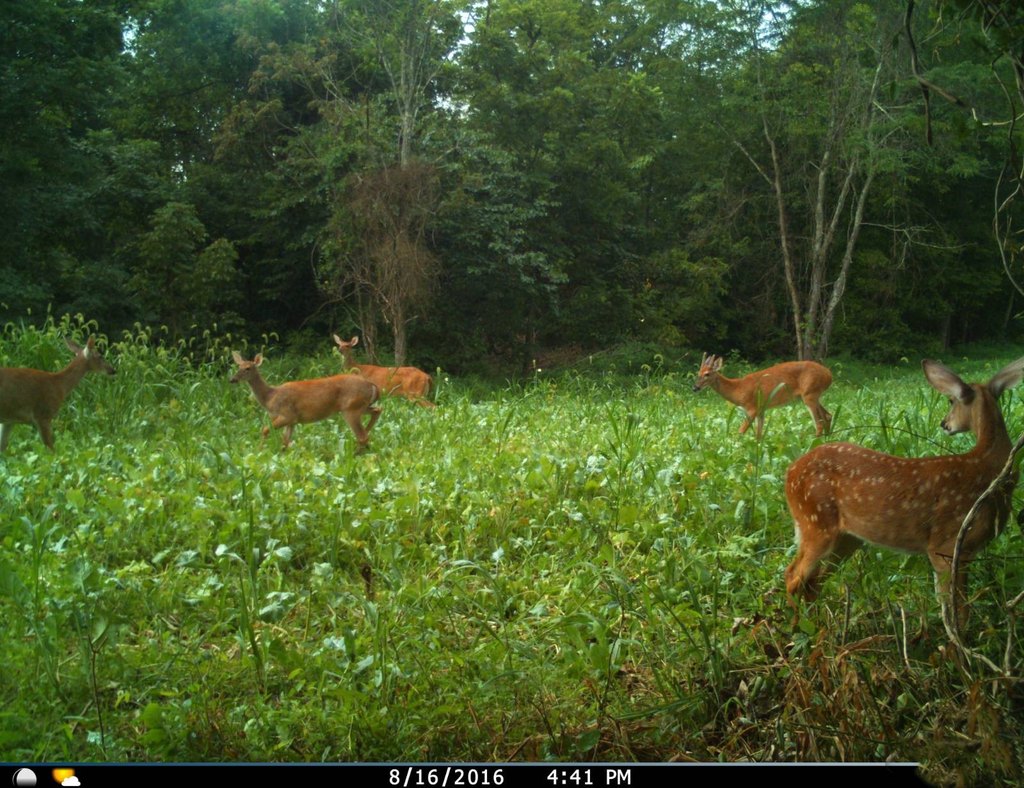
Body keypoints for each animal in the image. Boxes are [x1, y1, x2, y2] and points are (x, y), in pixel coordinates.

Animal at [230, 351, 382, 451]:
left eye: (248, 368)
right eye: (238, 366)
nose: (232, 379)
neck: (270, 398)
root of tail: (372, 385)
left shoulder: (288, 414)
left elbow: (265, 429)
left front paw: (259, 450)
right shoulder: (292, 421)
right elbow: (285, 442)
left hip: (351, 408)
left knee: (362, 436)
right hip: (361, 406)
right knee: (377, 411)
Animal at [692, 353, 833, 437]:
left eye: (707, 374)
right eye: (698, 373)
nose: (695, 388)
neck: (737, 389)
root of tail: (828, 374)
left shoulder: (752, 407)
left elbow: (741, 431)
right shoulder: (761, 409)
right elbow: (758, 435)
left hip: (809, 393)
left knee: (819, 423)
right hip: (813, 394)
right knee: (828, 415)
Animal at [784, 356, 1024, 632]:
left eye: (950, 401)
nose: (944, 424)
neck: (989, 471)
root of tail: (790, 473)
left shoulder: (963, 551)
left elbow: (959, 610)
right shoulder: (944, 544)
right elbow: (953, 612)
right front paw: (956, 644)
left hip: (847, 537)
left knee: (813, 581)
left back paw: (818, 628)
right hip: (815, 521)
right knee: (793, 576)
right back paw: (798, 630)